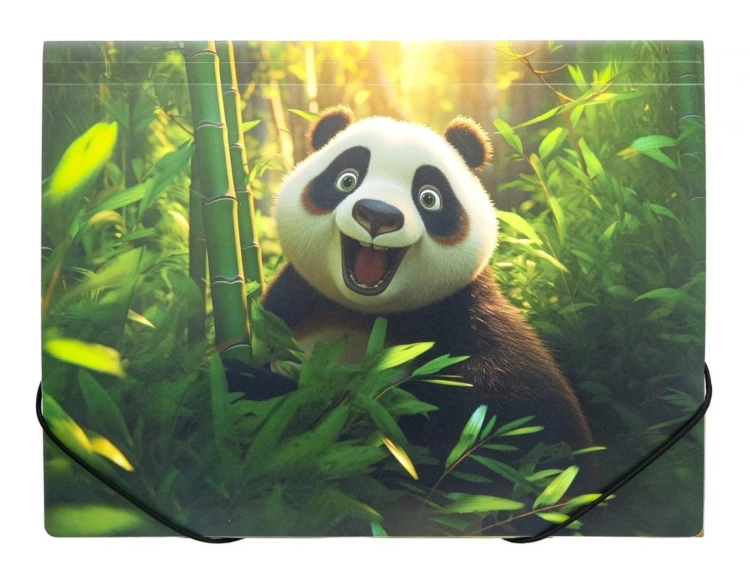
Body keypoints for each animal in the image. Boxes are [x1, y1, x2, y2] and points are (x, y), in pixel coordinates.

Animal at [263, 106, 592, 471]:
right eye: (346, 180)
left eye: (429, 198)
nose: (377, 215)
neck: (370, 313)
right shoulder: (289, 306)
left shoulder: (470, 320)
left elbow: (534, 423)